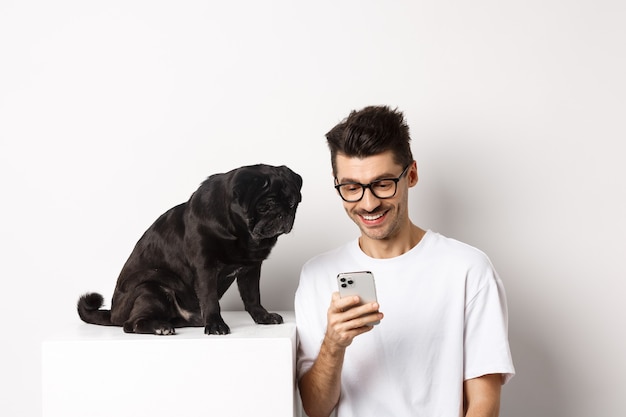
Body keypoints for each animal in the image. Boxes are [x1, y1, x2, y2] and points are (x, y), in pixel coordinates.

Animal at [77, 163, 302, 334]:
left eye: (293, 204)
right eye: (265, 206)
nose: (283, 214)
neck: (241, 234)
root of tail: (113, 313)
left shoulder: (251, 269)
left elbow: (253, 297)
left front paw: (263, 317)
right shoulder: (205, 268)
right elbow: (210, 299)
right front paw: (216, 324)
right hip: (150, 287)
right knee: (130, 324)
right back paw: (159, 327)